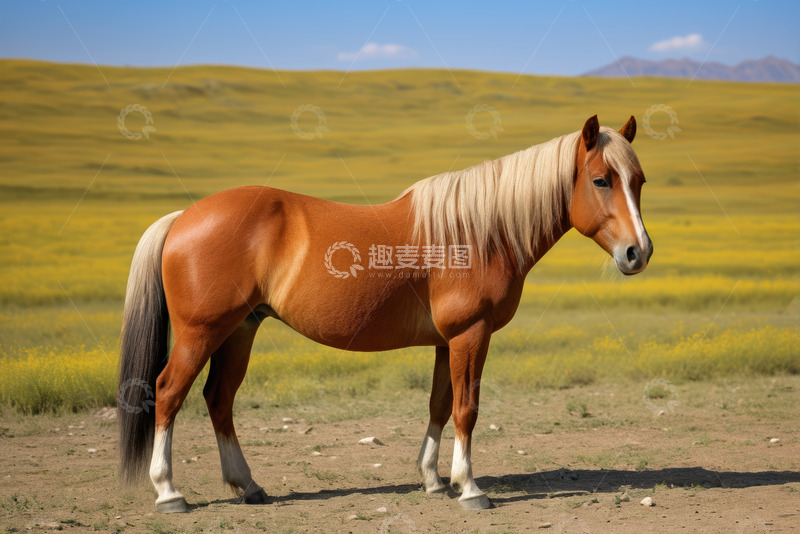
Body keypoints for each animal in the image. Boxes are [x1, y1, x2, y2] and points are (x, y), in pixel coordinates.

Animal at [117, 114, 653, 512]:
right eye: (601, 180)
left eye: (639, 181)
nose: (638, 252)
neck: (480, 232)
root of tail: (182, 217)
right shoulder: (471, 334)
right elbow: (467, 408)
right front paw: (470, 488)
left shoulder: (446, 342)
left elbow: (440, 405)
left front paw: (434, 480)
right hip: (202, 332)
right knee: (169, 392)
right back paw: (169, 492)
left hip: (240, 331)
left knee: (218, 399)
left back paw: (248, 486)